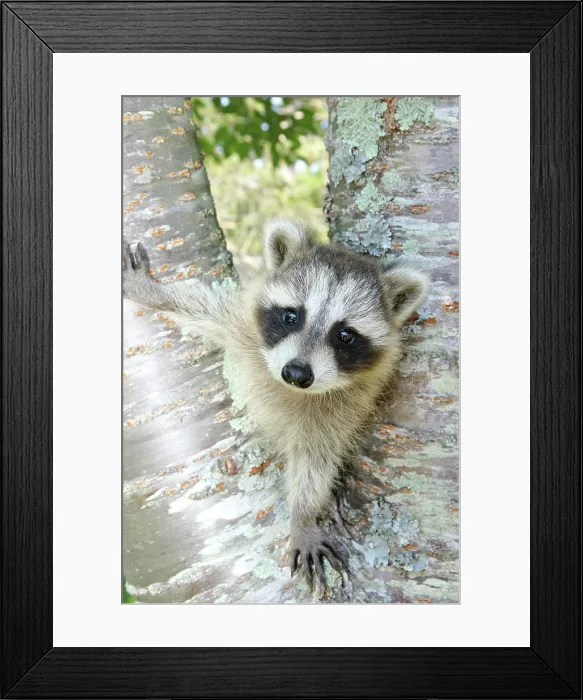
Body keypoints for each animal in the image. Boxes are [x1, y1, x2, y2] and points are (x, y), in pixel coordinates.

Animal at [123, 219, 428, 588]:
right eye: (292, 316)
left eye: (345, 336)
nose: (296, 373)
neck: (294, 391)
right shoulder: (242, 328)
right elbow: (200, 308)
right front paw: (152, 292)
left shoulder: (343, 411)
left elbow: (314, 462)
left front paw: (303, 517)